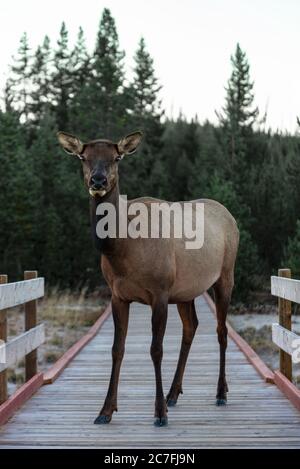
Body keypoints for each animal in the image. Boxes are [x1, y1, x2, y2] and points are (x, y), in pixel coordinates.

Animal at [56, 130, 239, 426]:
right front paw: (105, 411)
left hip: (225, 275)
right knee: (191, 327)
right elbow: (117, 349)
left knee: (221, 330)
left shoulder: (160, 292)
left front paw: (159, 413)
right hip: (186, 290)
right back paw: (174, 394)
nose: (98, 181)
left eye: (116, 157)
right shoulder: (117, 295)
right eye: (83, 157)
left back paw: (220, 393)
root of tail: (230, 216)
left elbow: (156, 349)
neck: (123, 251)